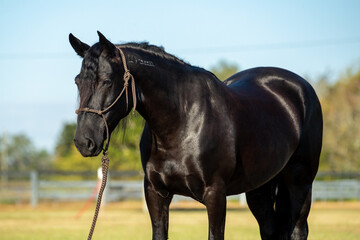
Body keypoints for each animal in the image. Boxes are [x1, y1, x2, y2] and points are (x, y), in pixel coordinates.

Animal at [69, 31, 322, 240]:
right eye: (77, 81)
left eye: (106, 81)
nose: (84, 142)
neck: (182, 122)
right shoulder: (156, 193)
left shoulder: (215, 195)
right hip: (259, 188)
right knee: (270, 230)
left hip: (300, 182)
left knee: (298, 230)